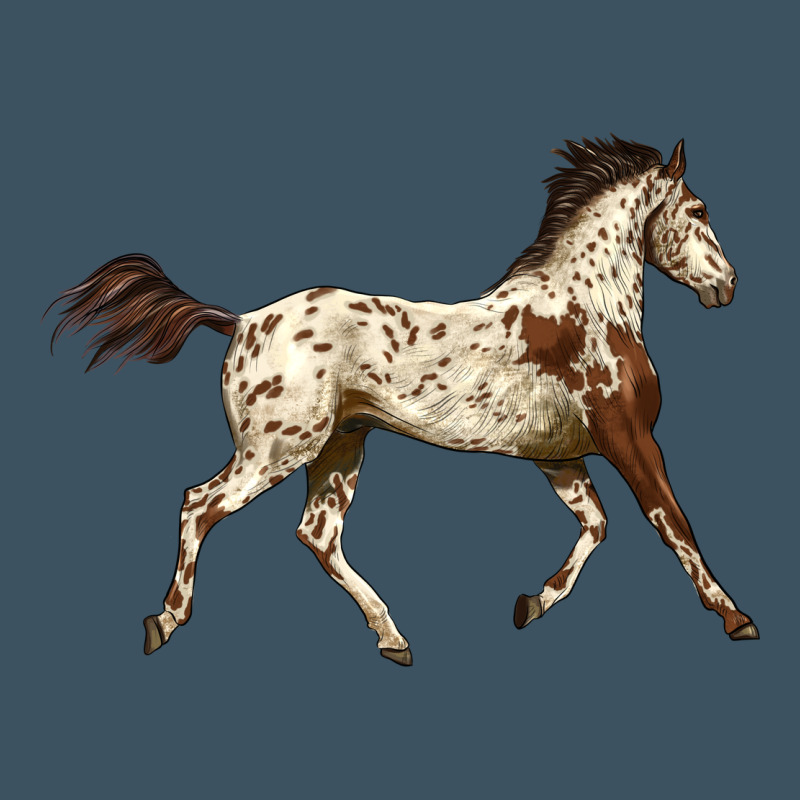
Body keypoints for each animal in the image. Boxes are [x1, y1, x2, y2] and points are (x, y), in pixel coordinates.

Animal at [47, 136, 759, 666]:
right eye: (699, 210)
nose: (727, 285)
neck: (585, 310)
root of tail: (241, 321)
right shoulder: (629, 441)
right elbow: (674, 526)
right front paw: (737, 617)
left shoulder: (560, 458)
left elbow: (597, 527)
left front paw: (530, 604)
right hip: (277, 449)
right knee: (199, 505)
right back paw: (165, 622)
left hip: (339, 449)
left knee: (317, 534)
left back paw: (393, 638)